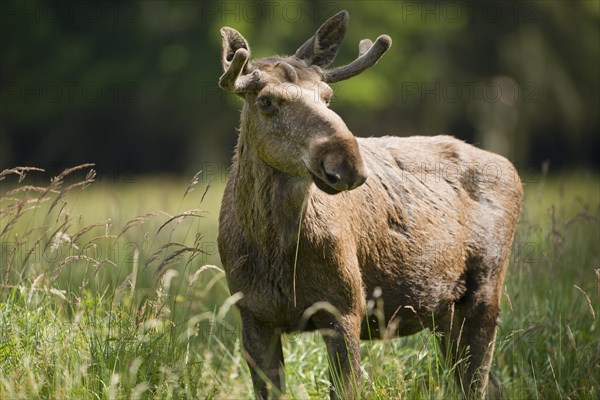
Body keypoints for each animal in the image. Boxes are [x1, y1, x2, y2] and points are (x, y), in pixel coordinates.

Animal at [216, 10, 520, 400]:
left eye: (327, 95)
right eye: (266, 101)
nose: (347, 163)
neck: (275, 249)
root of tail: (511, 168)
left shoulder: (346, 306)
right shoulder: (252, 313)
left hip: (486, 289)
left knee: (478, 380)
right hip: (444, 312)